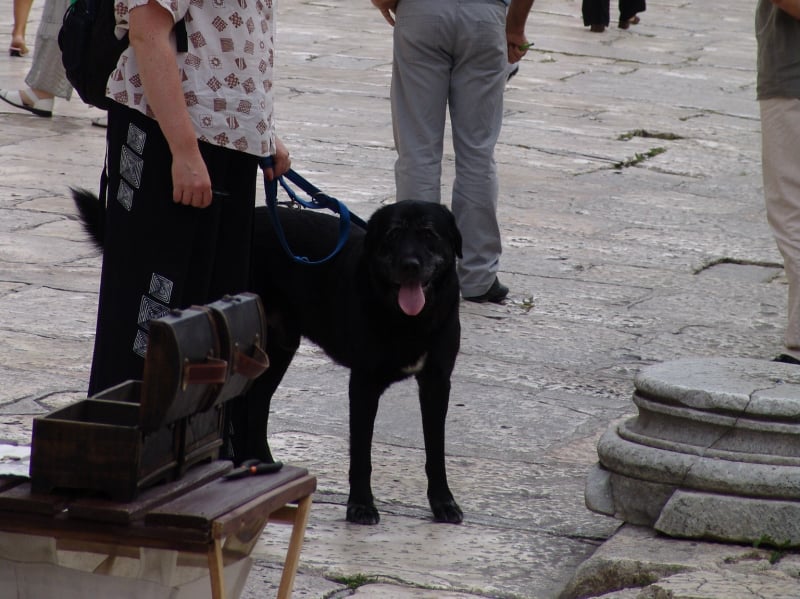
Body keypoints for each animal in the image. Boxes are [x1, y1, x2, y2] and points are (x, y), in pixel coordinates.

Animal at [73, 189, 464, 525]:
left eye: (429, 234)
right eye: (394, 235)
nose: (410, 265)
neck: (409, 319)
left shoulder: (437, 383)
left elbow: (436, 450)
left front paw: (443, 502)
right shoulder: (364, 384)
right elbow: (361, 453)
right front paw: (361, 506)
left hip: (276, 348)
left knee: (258, 403)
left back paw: (265, 465)